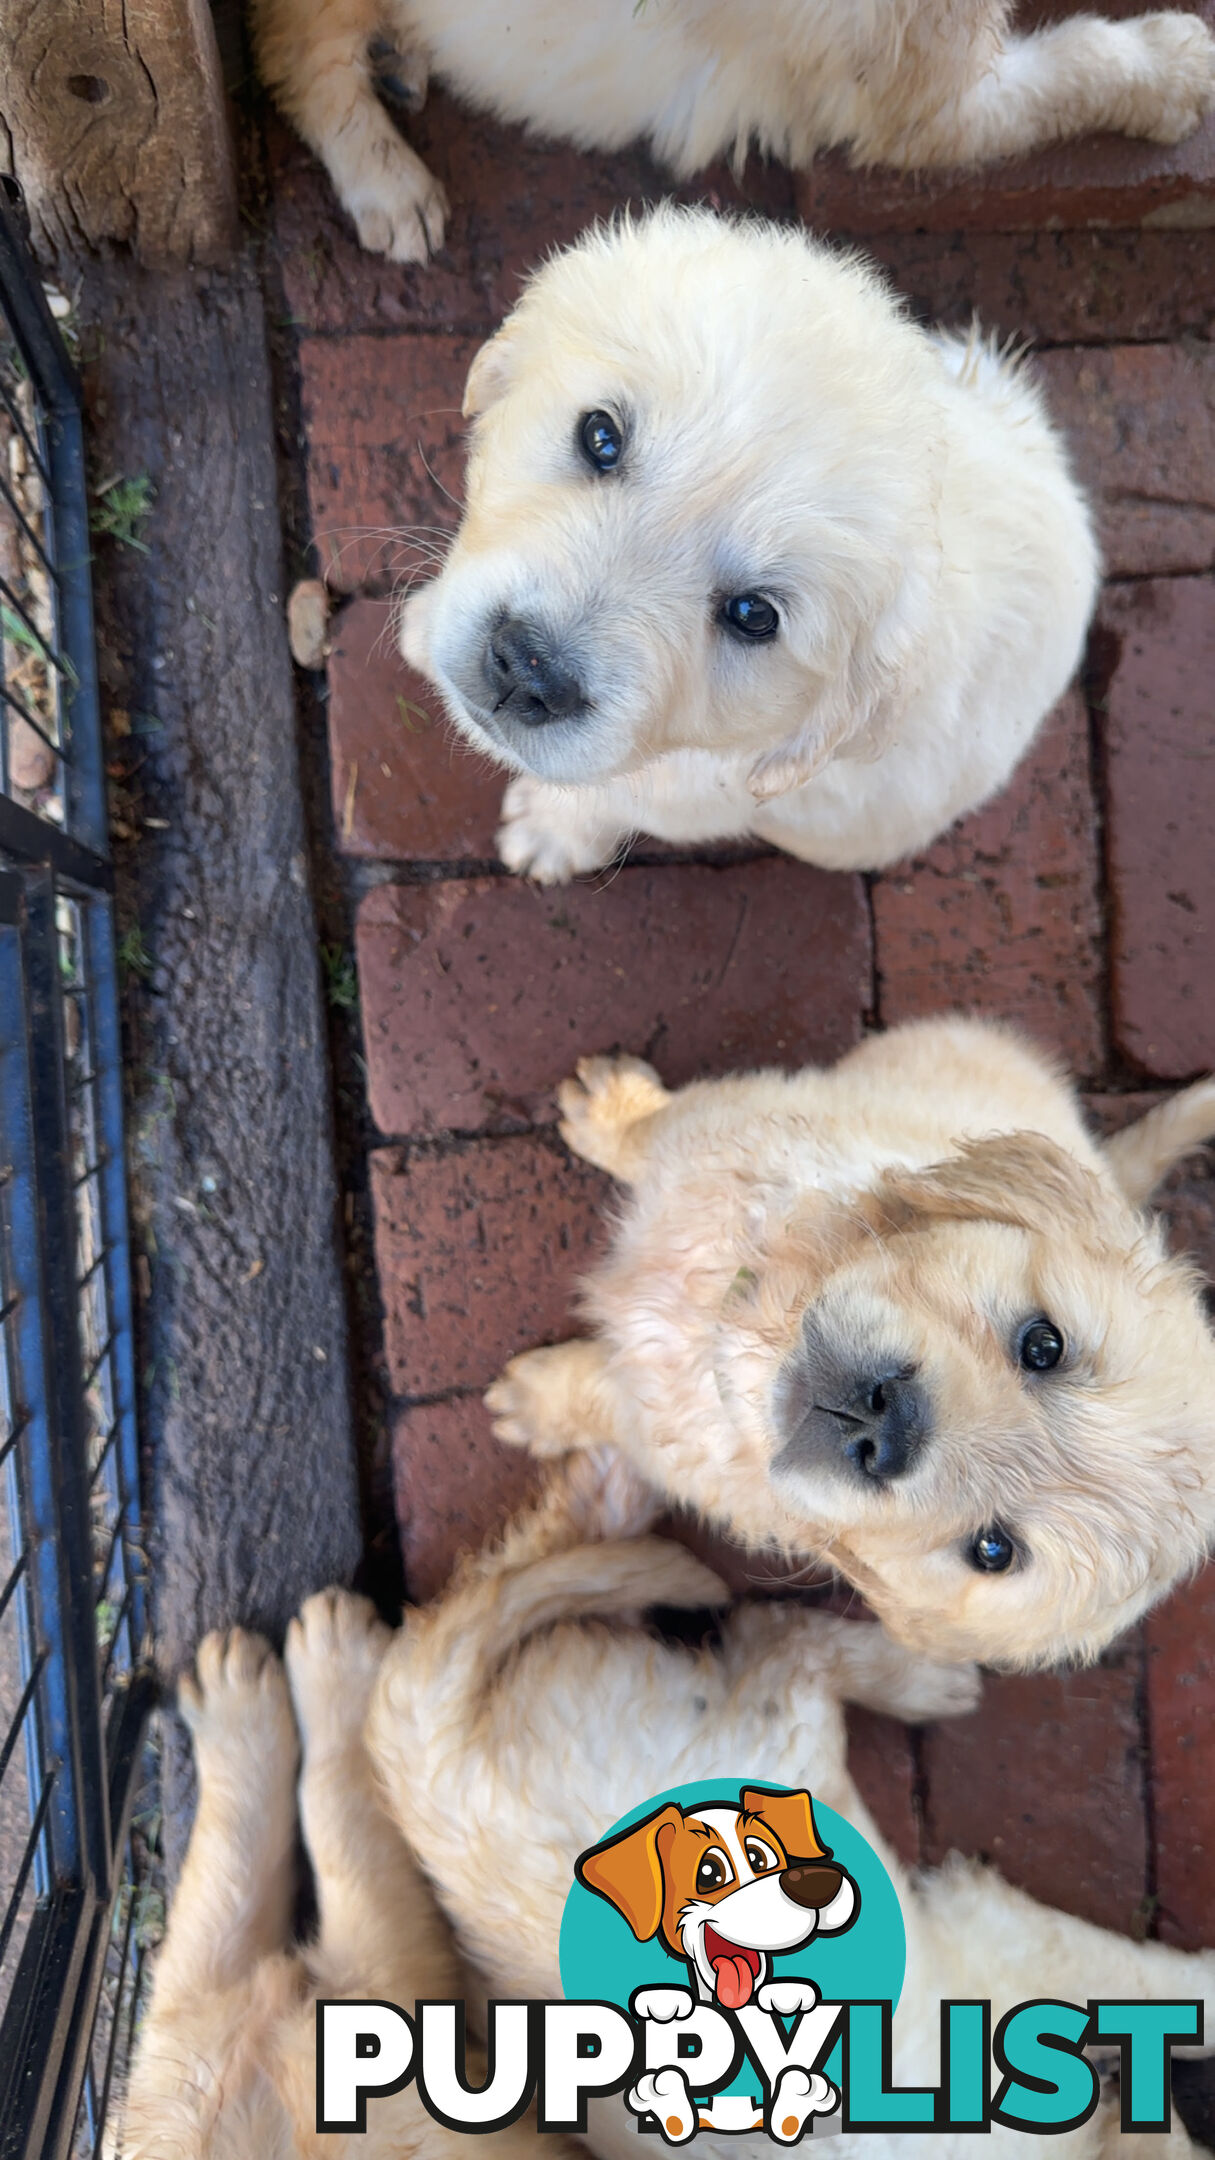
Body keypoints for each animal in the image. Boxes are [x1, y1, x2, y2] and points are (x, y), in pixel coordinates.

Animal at [367, 1451, 1210, 2160]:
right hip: (766, 1736)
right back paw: (919, 1682)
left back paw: (612, 1483)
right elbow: (1162, 1987)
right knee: (778, 1637)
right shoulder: (1001, 1946)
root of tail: (425, 1765)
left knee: (514, 1569)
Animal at [395, 203, 1098, 876]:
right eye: (600, 437)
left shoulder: (687, 794)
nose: (526, 670)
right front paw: (424, 624)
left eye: (753, 614)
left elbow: (600, 800)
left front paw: (546, 835)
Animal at [482, 1010, 1210, 1667]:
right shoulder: (723, 1122)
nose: (885, 1427)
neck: (741, 1336)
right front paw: (609, 1110)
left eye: (992, 1550)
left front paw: (532, 1406)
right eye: (1043, 1346)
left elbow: (609, 1401)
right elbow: (653, 1128)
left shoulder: (660, 1433)